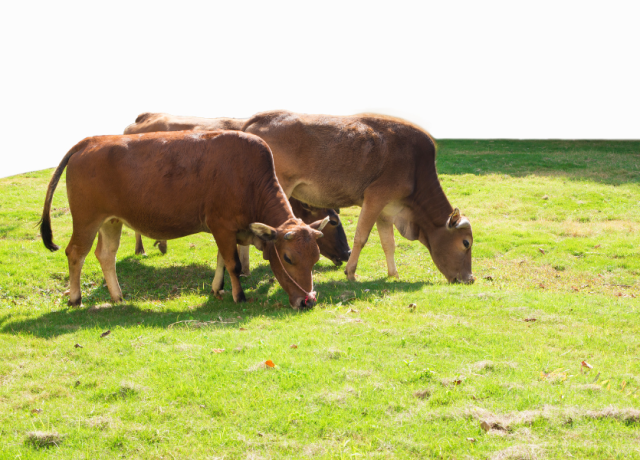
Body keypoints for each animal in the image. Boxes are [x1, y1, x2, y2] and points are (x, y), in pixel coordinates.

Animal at [39, 129, 328, 310]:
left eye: (315, 257)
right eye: (288, 258)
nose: (308, 301)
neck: (249, 180)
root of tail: (90, 141)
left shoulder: (226, 230)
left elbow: (221, 260)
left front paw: (217, 288)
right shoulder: (222, 225)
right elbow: (233, 263)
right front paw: (239, 295)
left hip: (111, 221)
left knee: (106, 255)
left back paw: (118, 297)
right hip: (86, 220)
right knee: (76, 252)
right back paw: (75, 299)